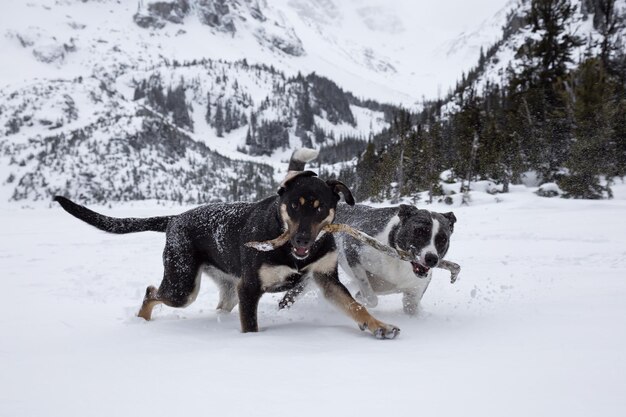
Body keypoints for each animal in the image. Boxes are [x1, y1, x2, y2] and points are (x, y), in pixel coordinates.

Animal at [52, 165, 394, 334]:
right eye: (294, 206)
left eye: (320, 207)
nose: (301, 241)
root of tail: (174, 219)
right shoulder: (251, 288)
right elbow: (250, 327)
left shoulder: (326, 279)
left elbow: (356, 307)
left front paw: (379, 327)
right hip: (182, 287)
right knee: (151, 291)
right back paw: (142, 321)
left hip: (227, 289)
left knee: (219, 305)